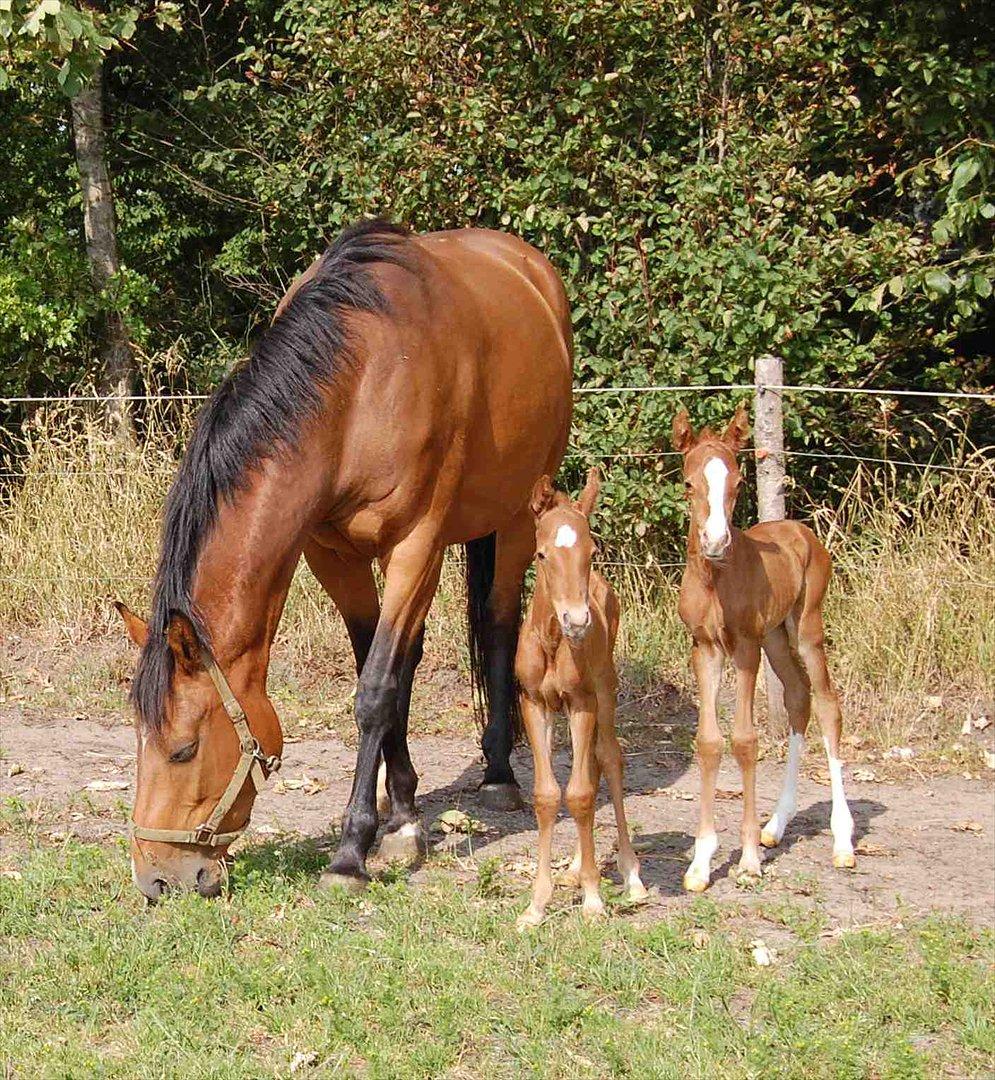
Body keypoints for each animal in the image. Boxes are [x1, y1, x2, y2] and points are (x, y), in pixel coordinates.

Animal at [113, 219, 570, 894]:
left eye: (183, 749)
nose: (156, 880)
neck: (361, 384)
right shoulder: (331, 553)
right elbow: (380, 673)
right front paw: (402, 820)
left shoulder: (415, 546)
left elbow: (376, 690)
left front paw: (352, 849)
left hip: (516, 518)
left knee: (497, 624)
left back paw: (498, 775)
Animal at [512, 470, 643, 928]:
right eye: (542, 554)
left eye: (591, 551)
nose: (578, 620)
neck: (553, 642)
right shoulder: (534, 704)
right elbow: (550, 795)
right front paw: (536, 904)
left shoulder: (583, 703)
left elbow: (582, 794)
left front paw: (593, 899)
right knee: (590, 767)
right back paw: (573, 866)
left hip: (605, 692)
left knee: (609, 759)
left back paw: (630, 875)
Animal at [669, 406, 859, 894]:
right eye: (689, 483)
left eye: (738, 484)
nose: (716, 542)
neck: (716, 579)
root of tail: (798, 529)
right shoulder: (705, 648)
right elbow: (710, 742)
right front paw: (701, 864)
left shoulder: (745, 647)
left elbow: (745, 740)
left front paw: (749, 859)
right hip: (776, 636)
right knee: (797, 697)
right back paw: (776, 825)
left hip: (805, 628)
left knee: (827, 704)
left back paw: (842, 841)